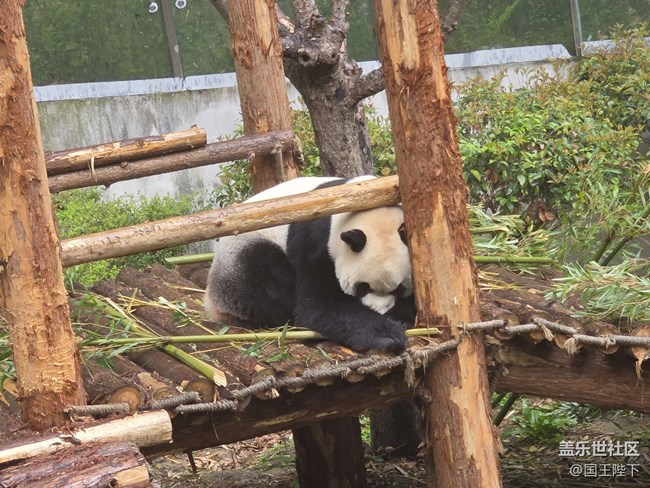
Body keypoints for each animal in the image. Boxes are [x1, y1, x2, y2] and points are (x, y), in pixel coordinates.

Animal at [205, 176, 415, 353]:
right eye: (362, 287)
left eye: (398, 289)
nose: (379, 311)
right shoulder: (316, 242)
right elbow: (317, 305)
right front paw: (387, 335)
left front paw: (397, 317)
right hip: (240, 260)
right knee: (266, 280)